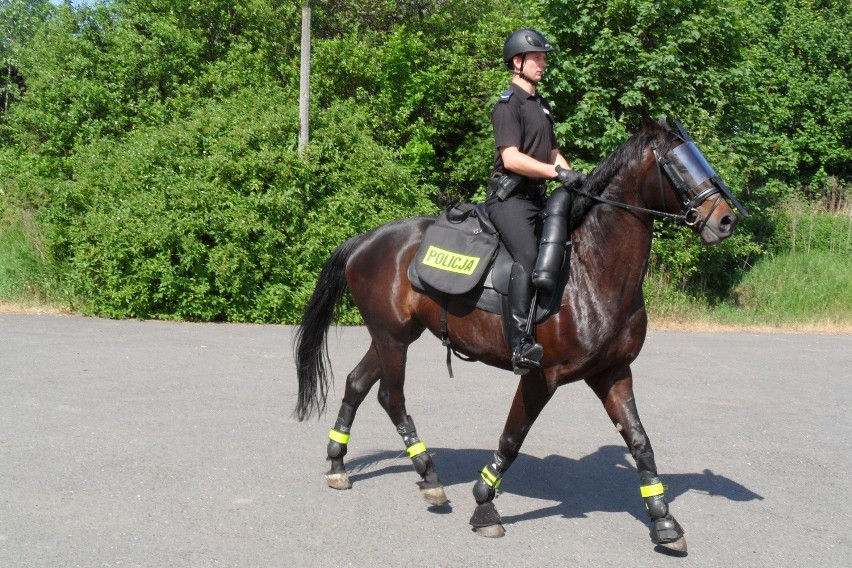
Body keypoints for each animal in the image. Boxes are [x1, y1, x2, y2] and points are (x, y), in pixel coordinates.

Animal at [292, 117, 744, 552]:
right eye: (679, 164)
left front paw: (663, 521)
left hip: (394, 336)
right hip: (392, 339)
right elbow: (513, 437)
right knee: (391, 397)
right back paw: (430, 475)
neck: (589, 269)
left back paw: (339, 464)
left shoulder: (613, 373)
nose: (726, 219)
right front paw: (484, 506)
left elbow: (640, 442)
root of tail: (365, 239)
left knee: (357, 383)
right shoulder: (540, 376)